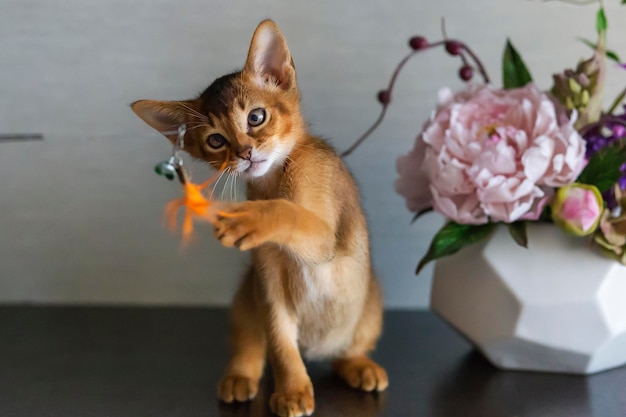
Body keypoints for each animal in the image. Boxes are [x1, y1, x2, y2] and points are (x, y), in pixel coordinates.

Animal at [131, 19, 386, 416]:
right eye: (216, 141)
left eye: (256, 117)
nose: (246, 153)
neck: (273, 182)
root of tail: (318, 350)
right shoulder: (268, 283)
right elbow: (280, 345)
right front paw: (293, 390)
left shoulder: (327, 238)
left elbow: (291, 213)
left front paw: (250, 220)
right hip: (244, 298)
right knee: (250, 344)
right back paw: (239, 377)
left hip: (370, 310)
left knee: (348, 352)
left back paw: (360, 366)